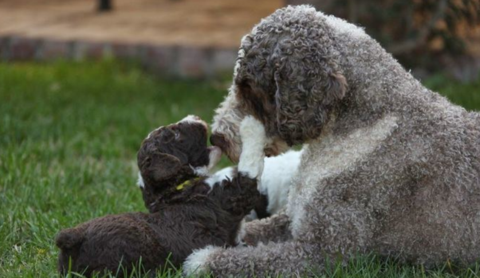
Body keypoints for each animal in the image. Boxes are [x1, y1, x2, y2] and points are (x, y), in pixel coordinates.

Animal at [56, 114, 262, 276]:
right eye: (176, 134)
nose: (195, 116)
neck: (174, 190)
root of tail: (72, 237)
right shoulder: (234, 196)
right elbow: (249, 167)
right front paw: (251, 124)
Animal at [183, 4, 480, 278]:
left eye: (248, 86)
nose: (217, 136)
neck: (366, 123)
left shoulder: (324, 252)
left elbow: (249, 261)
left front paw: (202, 258)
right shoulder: (295, 218)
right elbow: (252, 229)